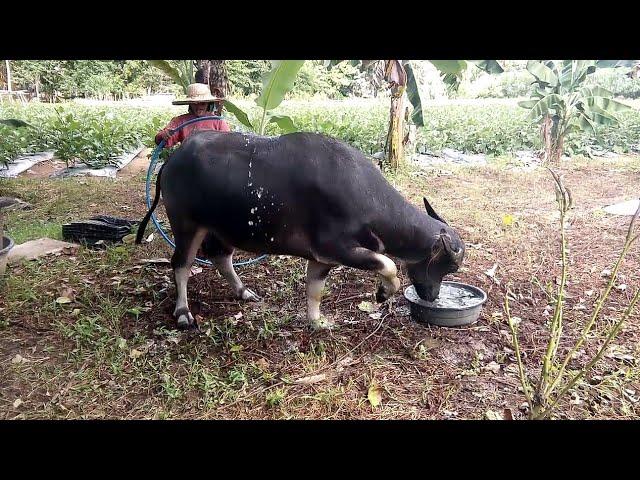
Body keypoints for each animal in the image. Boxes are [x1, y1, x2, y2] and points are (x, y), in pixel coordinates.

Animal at [136, 131, 464, 330]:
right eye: (448, 267)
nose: (433, 296)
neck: (366, 196)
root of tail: (171, 161)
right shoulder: (337, 247)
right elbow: (388, 263)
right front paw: (383, 292)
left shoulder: (322, 258)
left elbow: (314, 290)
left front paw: (317, 322)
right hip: (186, 224)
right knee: (181, 264)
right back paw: (183, 312)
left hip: (219, 228)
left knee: (220, 256)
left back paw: (243, 292)